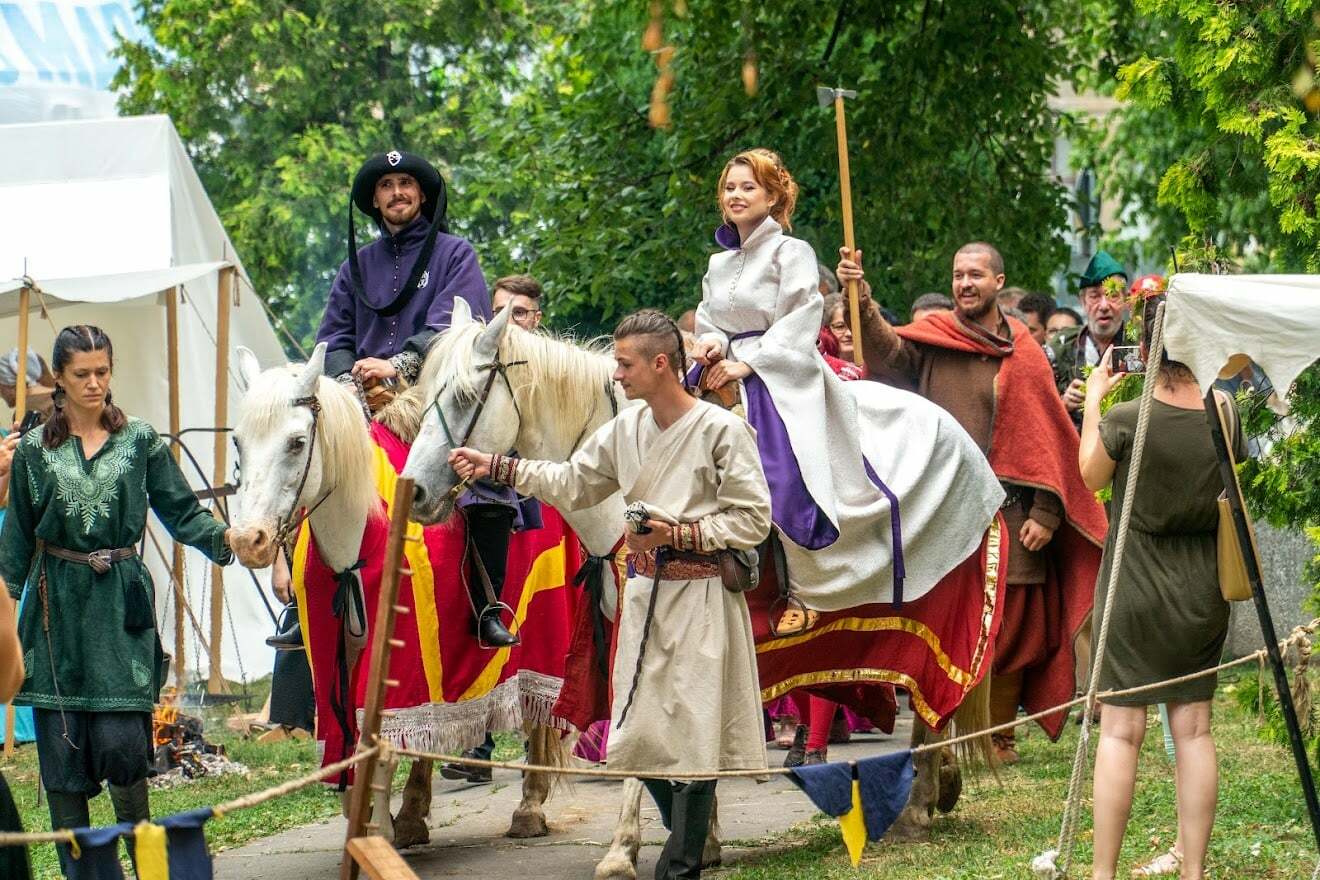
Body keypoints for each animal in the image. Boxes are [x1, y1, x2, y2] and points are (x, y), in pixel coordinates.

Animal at [227, 340, 576, 846]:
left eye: (296, 442)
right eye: (238, 442)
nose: (246, 540)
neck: (357, 542)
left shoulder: (400, 664)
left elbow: (382, 744)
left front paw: (378, 834)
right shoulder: (339, 659)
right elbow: (354, 743)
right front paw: (375, 823)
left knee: (538, 714)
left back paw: (528, 806)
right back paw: (413, 814)